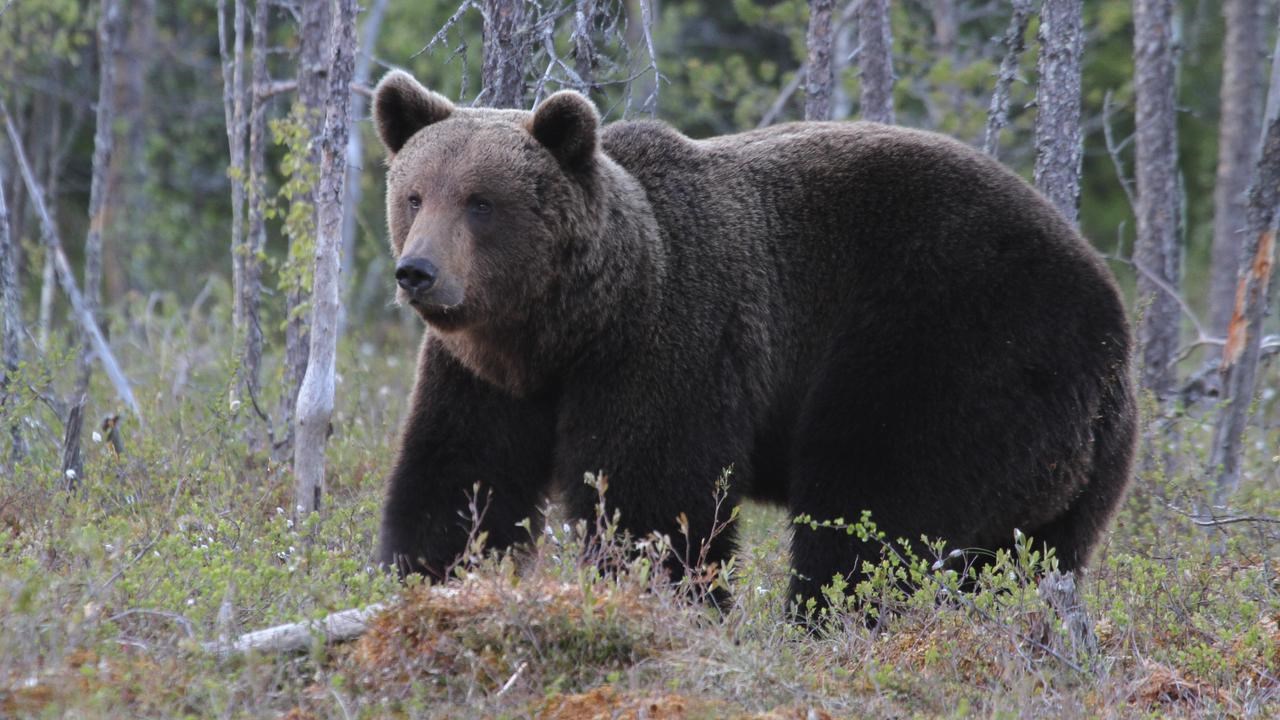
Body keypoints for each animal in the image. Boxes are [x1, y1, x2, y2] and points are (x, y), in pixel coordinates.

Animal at [370, 69, 1138, 610]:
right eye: (414, 194)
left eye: (481, 202)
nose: (418, 272)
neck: (572, 331)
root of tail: (1112, 319)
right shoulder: (483, 378)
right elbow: (459, 481)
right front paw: (426, 579)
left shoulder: (672, 342)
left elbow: (657, 500)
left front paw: (663, 598)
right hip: (1076, 466)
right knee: (1032, 554)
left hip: (953, 347)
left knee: (875, 509)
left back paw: (826, 622)